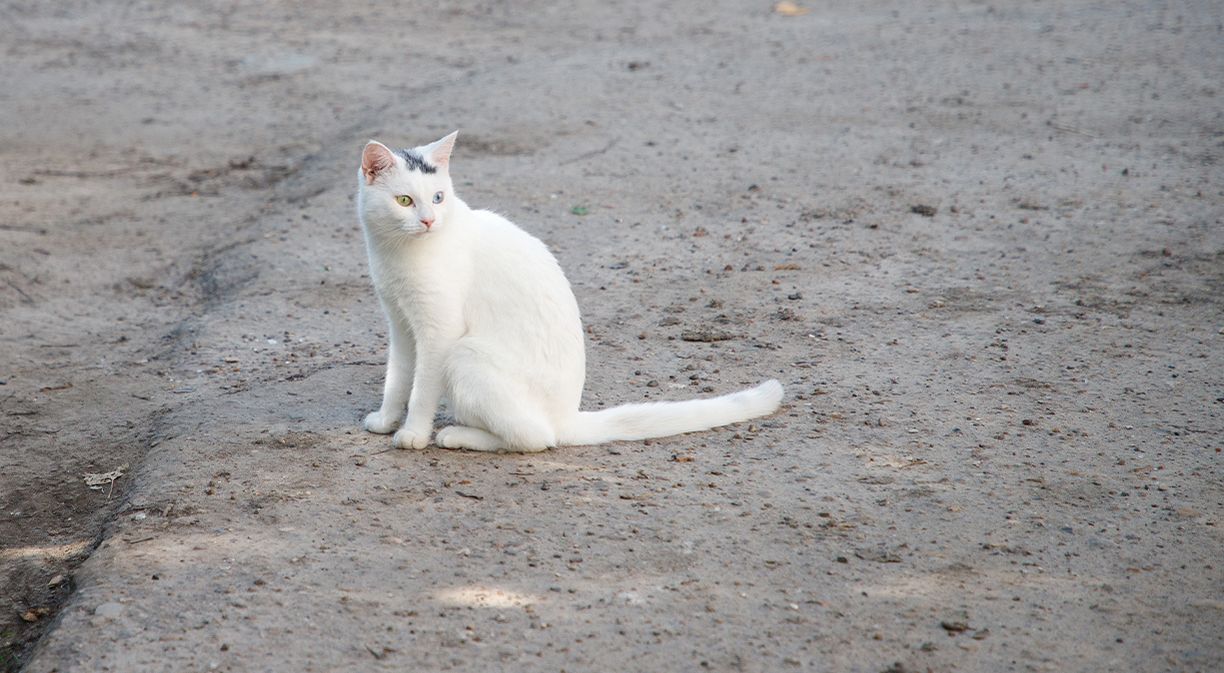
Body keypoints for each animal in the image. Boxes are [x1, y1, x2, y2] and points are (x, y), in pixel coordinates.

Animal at [354, 132, 783, 452]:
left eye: (438, 197)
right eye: (405, 201)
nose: (429, 220)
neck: (396, 253)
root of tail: (568, 416)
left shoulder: (439, 330)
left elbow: (422, 388)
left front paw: (413, 433)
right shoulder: (400, 323)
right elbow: (398, 376)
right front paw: (386, 419)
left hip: (464, 354)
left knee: (537, 438)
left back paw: (458, 435)